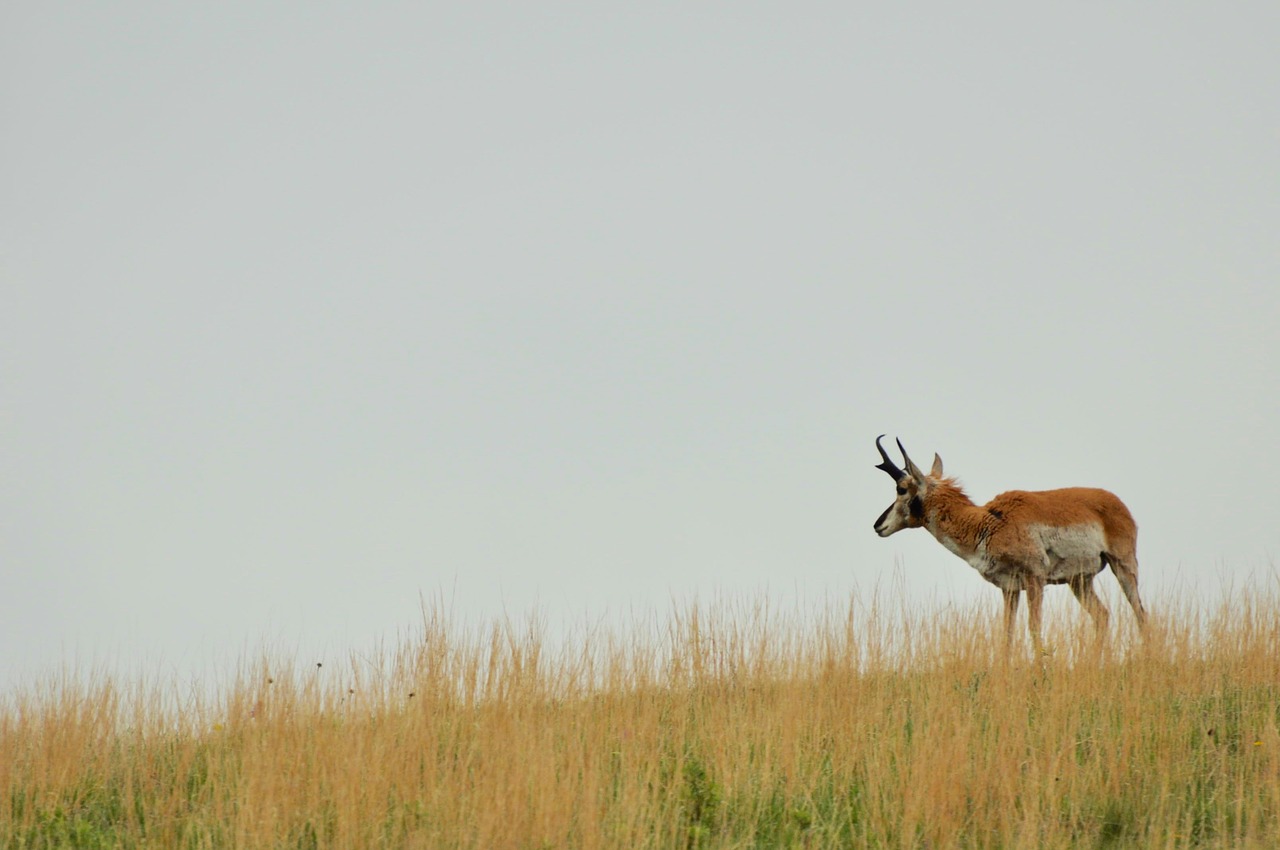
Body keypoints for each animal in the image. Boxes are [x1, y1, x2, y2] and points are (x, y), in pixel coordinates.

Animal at [875, 435, 1146, 647]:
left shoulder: (1035, 579)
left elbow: (1034, 629)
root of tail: (1114, 501)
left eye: (901, 489)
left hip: (1123, 566)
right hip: (1079, 580)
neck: (986, 522)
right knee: (1102, 616)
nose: (878, 525)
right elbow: (1006, 634)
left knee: (1141, 614)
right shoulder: (1010, 588)